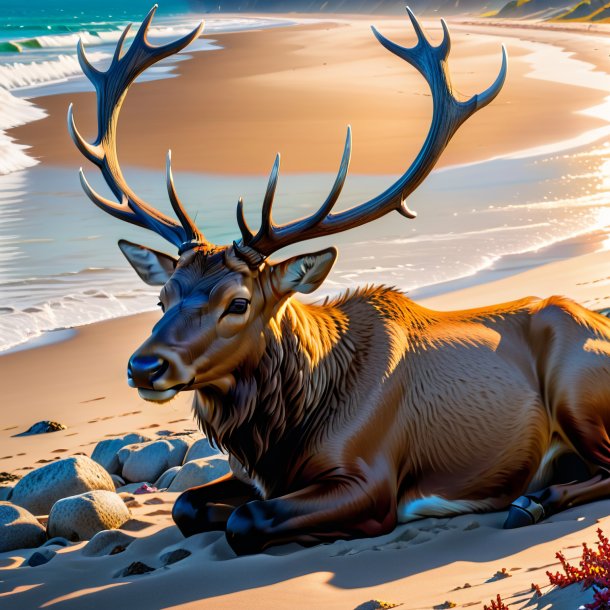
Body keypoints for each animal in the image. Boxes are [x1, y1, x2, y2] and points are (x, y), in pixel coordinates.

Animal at [67, 5, 610, 556]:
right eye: (162, 298)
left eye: (237, 303)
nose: (144, 366)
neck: (285, 431)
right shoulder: (249, 474)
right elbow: (185, 504)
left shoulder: (372, 477)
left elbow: (247, 519)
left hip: (575, 386)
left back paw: (532, 501)